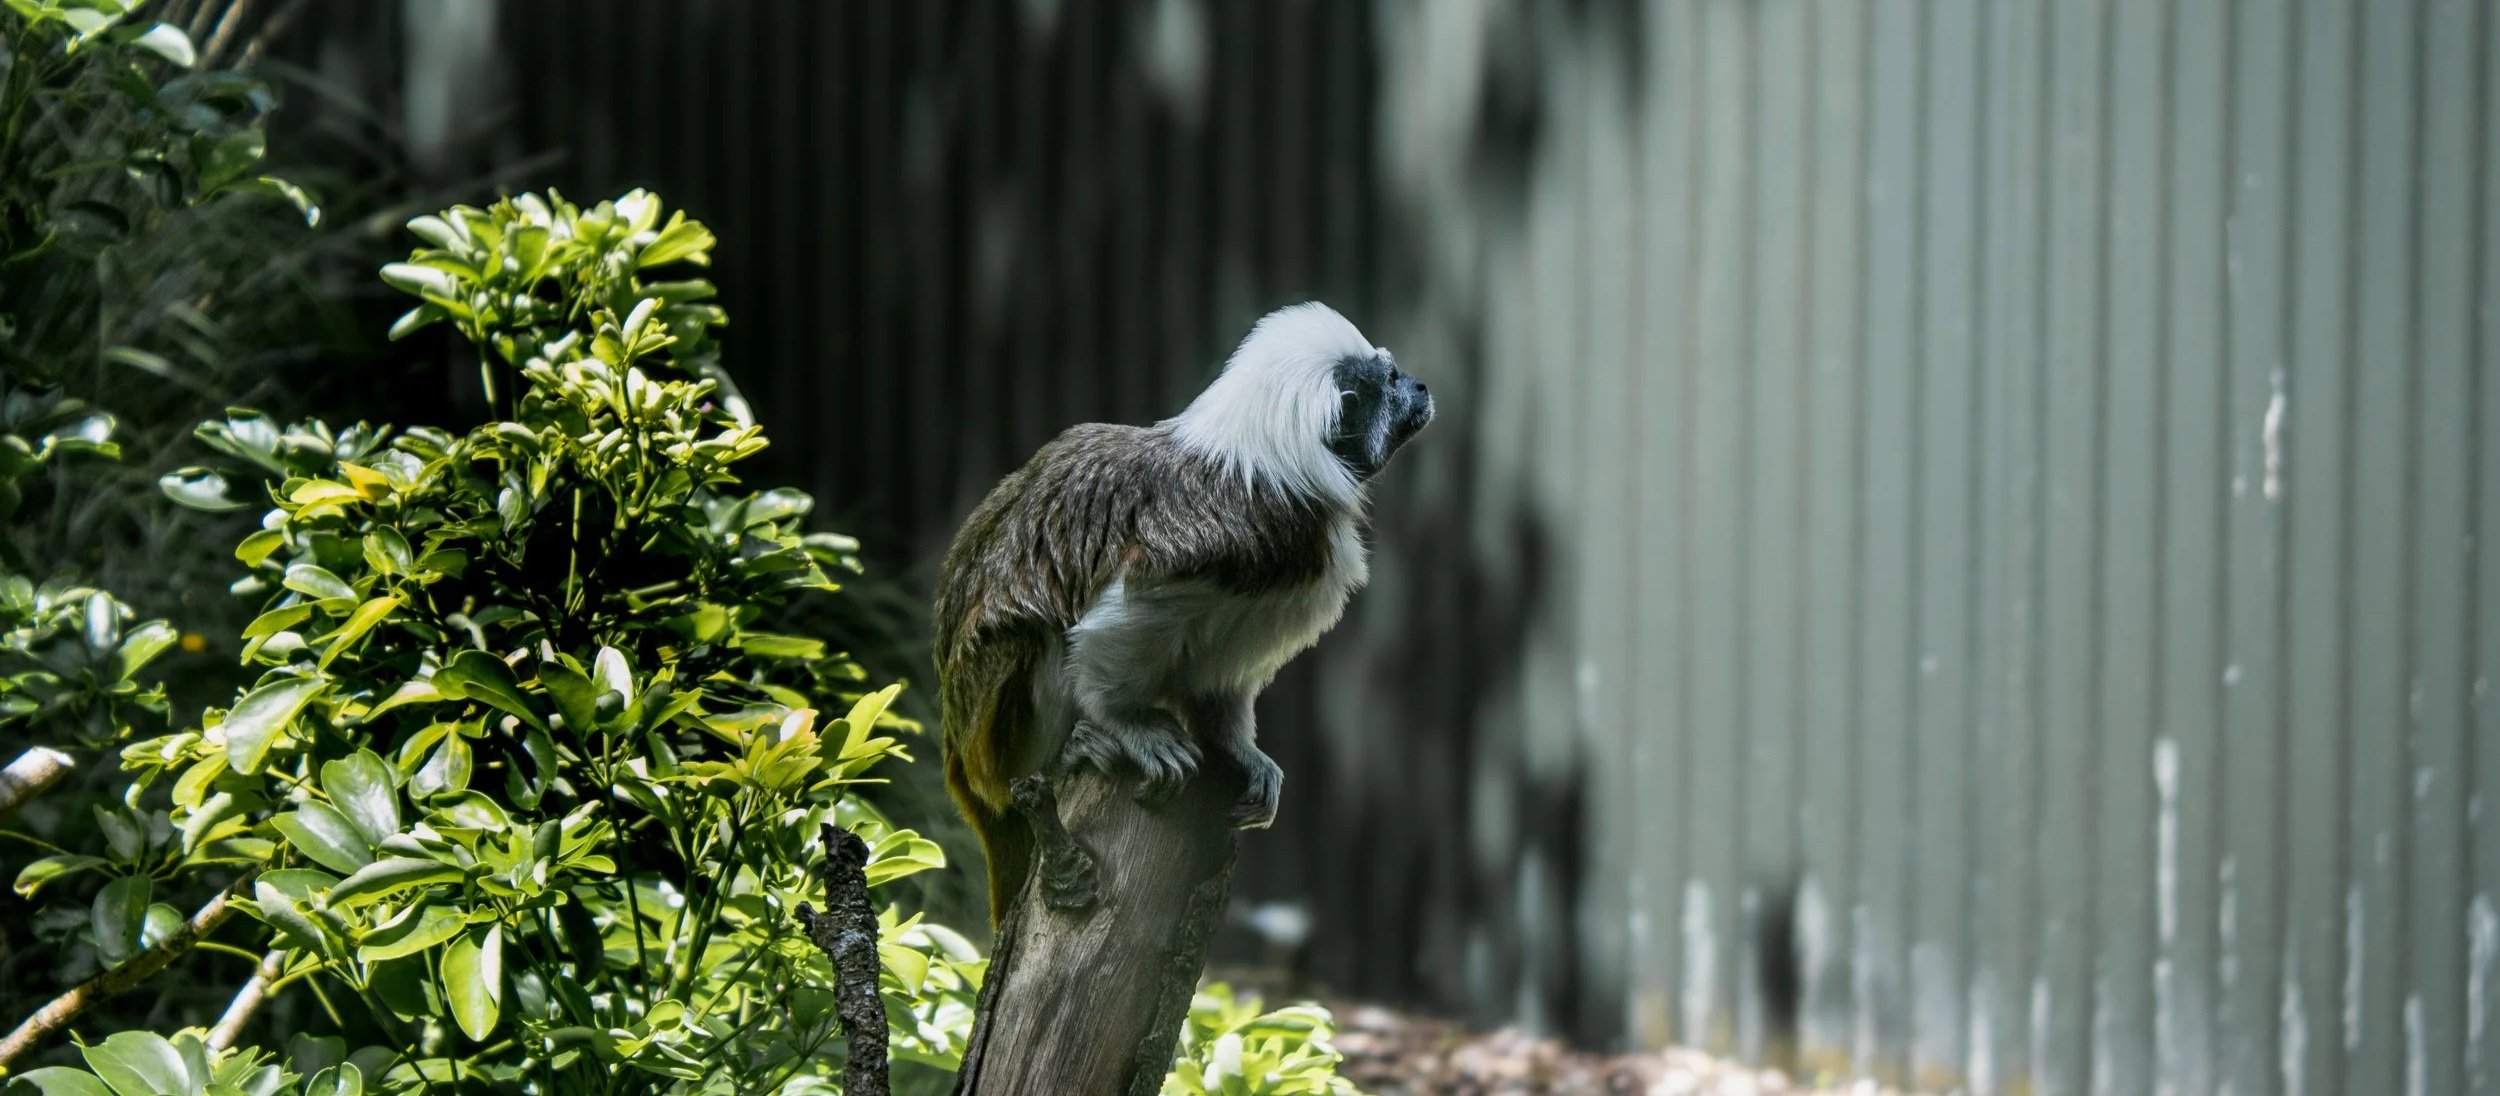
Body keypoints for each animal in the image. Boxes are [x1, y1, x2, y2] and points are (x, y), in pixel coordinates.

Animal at [934, 302, 1433, 925]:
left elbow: (1221, 672)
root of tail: (963, 761)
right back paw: (1069, 751)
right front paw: (1127, 724)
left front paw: (1237, 748)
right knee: (1032, 637)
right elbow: (1117, 617)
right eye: (1390, 382)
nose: (1421, 387)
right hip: (995, 729)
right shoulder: (1216, 539)